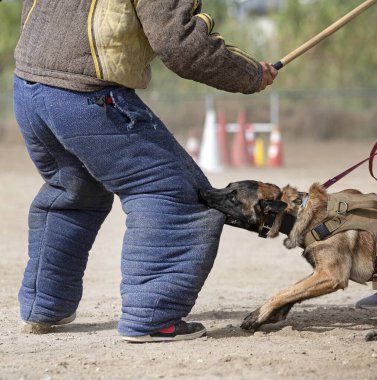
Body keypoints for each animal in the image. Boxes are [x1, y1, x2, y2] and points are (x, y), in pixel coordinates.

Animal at [200, 183, 376, 332]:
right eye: (228, 186)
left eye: (233, 198)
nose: (204, 191)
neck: (300, 214)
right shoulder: (320, 273)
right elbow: (294, 290)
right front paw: (273, 314)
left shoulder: (331, 275)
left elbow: (284, 292)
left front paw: (259, 315)